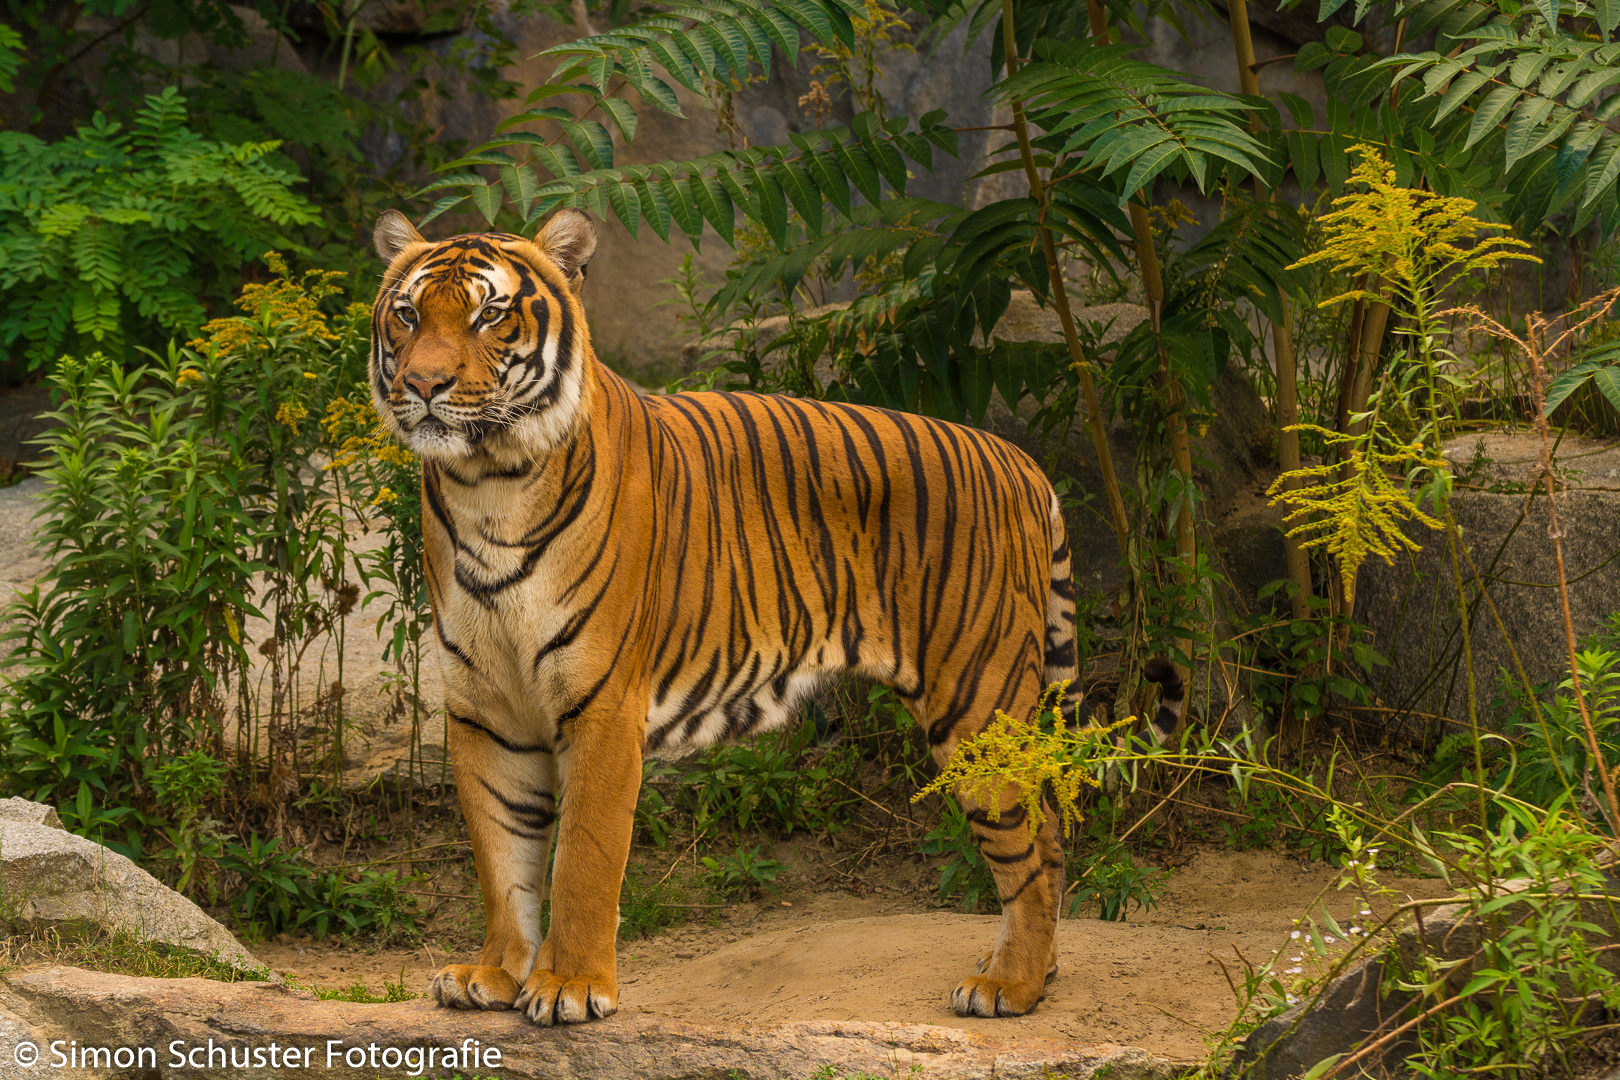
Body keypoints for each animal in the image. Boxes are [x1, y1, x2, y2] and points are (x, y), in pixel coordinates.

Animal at [364, 207, 1179, 1029]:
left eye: (489, 315)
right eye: (407, 315)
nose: (423, 385)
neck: (487, 484)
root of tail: (1022, 463)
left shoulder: (601, 707)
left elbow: (582, 862)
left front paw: (569, 985)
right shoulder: (488, 712)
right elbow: (503, 858)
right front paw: (497, 974)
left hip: (978, 706)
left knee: (1035, 842)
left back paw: (1009, 986)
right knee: (1049, 836)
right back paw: (1029, 972)